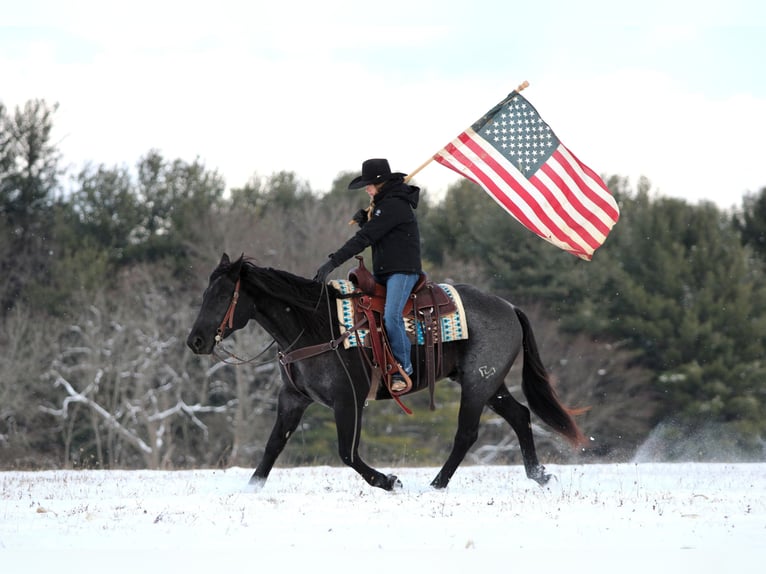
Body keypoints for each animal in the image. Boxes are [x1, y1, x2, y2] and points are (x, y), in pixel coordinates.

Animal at [186, 253, 587, 491]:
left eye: (221, 295)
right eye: (204, 293)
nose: (196, 340)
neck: (317, 326)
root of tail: (509, 307)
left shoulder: (349, 399)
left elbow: (347, 452)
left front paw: (389, 481)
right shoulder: (293, 399)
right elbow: (273, 447)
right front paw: (251, 490)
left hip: (478, 383)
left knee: (467, 433)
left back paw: (436, 484)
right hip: (490, 383)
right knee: (520, 415)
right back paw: (539, 475)